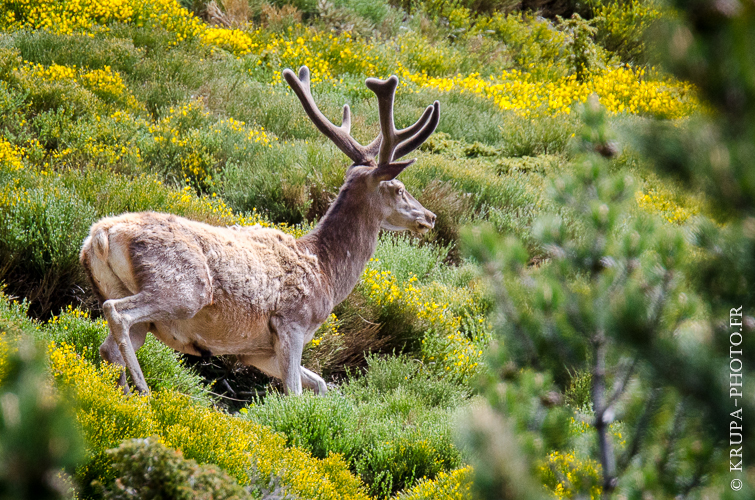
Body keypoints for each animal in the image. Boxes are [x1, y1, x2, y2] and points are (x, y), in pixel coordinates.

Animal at [79, 65, 440, 394]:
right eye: (398, 188)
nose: (430, 217)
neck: (326, 274)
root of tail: (99, 236)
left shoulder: (257, 351)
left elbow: (321, 384)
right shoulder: (292, 323)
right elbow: (295, 393)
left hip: (116, 290)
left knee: (109, 348)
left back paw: (121, 396)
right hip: (182, 289)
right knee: (118, 314)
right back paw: (144, 390)